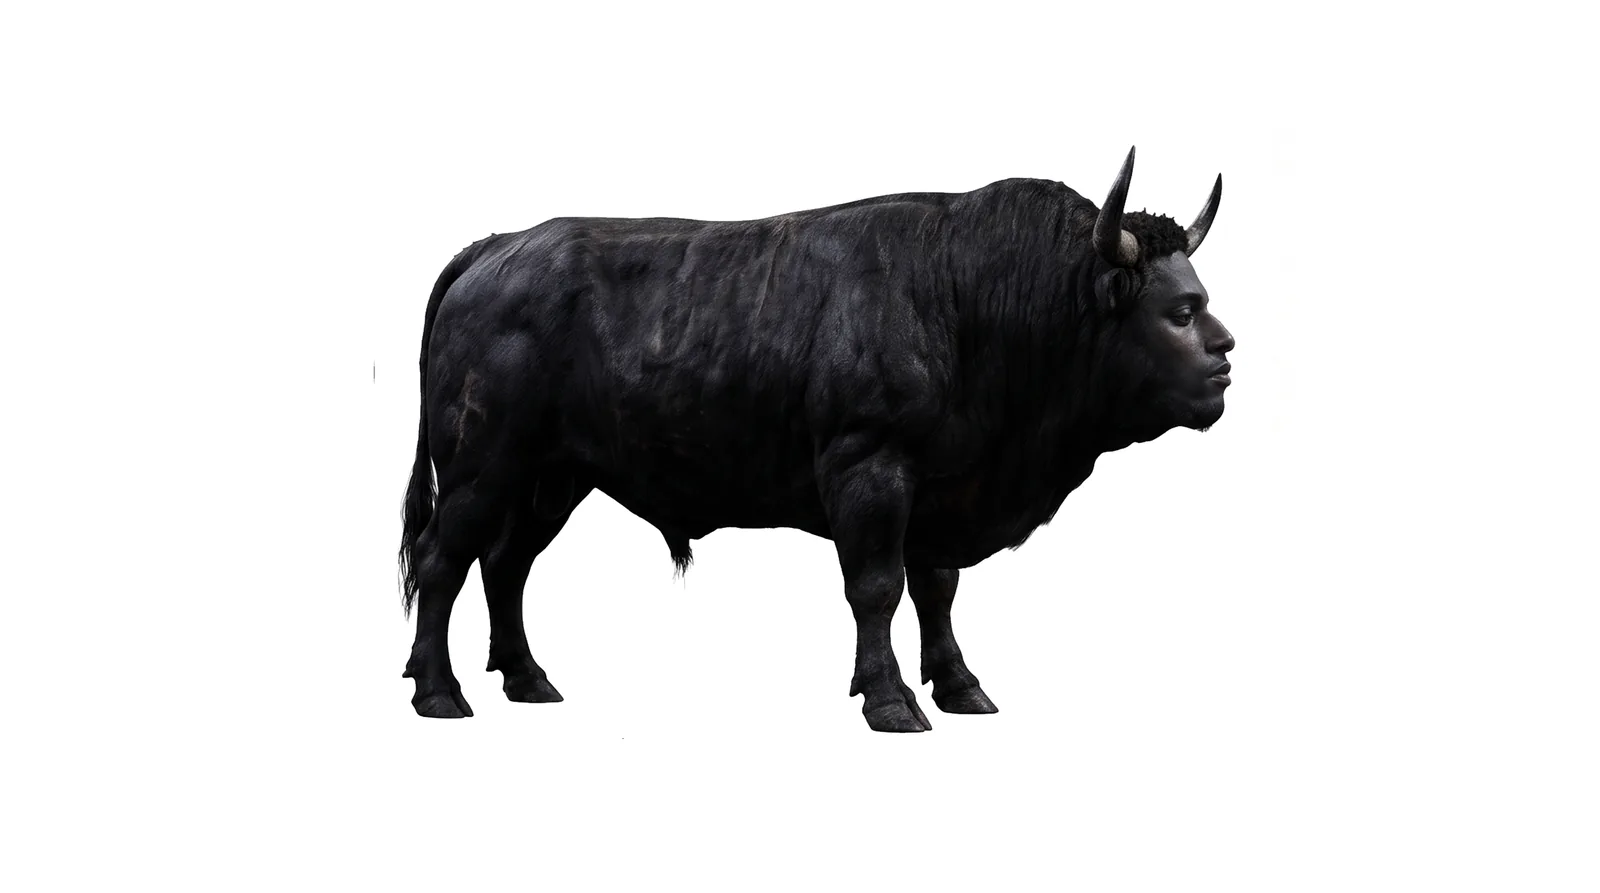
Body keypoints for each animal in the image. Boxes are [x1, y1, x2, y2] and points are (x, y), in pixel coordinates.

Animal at [397, 147, 1235, 732]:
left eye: (1199, 299)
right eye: (1179, 311)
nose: (1227, 351)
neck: (969, 297)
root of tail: (497, 246)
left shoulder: (938, 490)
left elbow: (936, 588)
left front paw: (961, 684)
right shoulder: (871, 470)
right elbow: (877, 587)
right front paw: (891, 698)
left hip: (551, 479)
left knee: (505, 566)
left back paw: (528, 679)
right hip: (480, 469)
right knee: (443, 560)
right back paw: (439, 691)